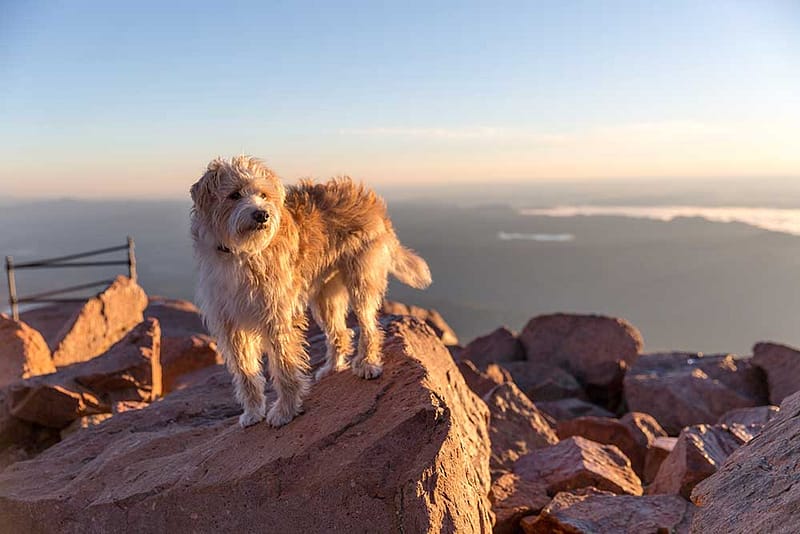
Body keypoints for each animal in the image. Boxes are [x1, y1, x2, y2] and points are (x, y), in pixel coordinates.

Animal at [191, 155, 432, 428]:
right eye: (234, 195)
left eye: (263, 194)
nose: (262, 214)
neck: (242, 254)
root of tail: (369, 199)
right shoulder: (230, 324)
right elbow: (245, 372)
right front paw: (253, 412)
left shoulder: (277, 317)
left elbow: (284, 367)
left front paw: (284, 411)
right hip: (326, 297)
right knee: (341, 332)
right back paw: (332, 367)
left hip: (361, 282)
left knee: (369, 326)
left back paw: (368, 364)